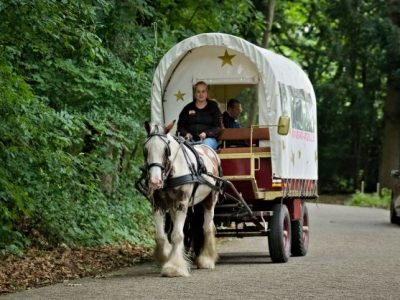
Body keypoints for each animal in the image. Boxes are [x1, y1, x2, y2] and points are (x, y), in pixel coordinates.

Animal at [141, 120, 222, 276]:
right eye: (145, 149)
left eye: (166, 150)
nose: (155, 181)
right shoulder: (157, 204)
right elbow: (161, 236)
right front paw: (165, 257)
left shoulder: (182, 203)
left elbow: (177, 235)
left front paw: (174, 267)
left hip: (210, 198)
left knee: (207, 227)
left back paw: (206, 259)